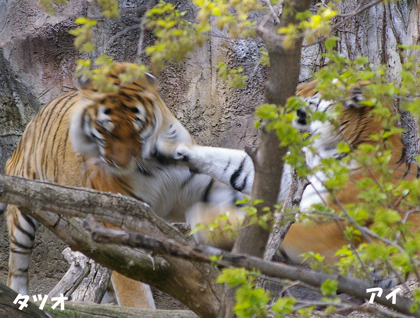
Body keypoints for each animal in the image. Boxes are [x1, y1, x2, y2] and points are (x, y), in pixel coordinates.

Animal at [3, 61, 246, 308]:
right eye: (104, 129)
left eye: (137, 126)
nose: (119, 162)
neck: (153, 167)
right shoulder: (121, 225)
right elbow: (135, 294)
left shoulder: (203, 186)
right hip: (25, 212)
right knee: (17, 267)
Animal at [157, 79, 420, 286]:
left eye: (317, 86)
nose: (295, 87)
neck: (330, 149)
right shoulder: (289, 178)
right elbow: (237, 164)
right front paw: (173, 148)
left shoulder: (332, 224)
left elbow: (278, 226)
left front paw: (205, 221)